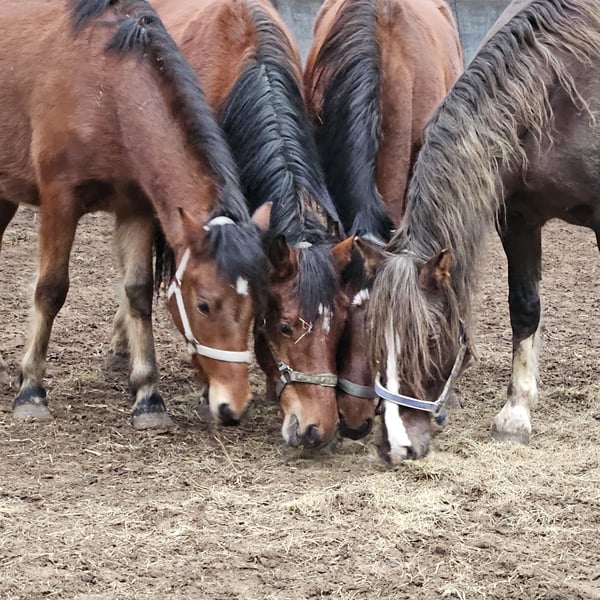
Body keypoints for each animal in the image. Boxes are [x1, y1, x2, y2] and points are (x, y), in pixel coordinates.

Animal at [0, 0, 266, 428]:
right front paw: (31, 390)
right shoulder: (60, 201)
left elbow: (138, 292)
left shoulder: (135, 208)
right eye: (204, 305)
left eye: (257, 308)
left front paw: (147, 396)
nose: (233, 406)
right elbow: (51, 290)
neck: (108, 88)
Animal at [366, 0, 600, 464]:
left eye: (430, 340)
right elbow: (524, 307)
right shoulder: (517, 218)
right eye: (374, 339)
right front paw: (516, 412)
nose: (395, 446)